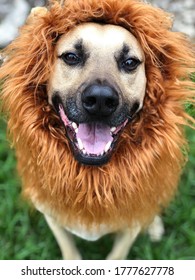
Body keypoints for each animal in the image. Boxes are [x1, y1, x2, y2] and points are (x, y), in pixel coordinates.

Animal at [0, 0, 194, 260]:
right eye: (71, 56)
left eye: (130, 62)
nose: (101, 100)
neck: (92, 180)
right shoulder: (52, 214)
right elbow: (70, 252)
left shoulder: (130, 224)